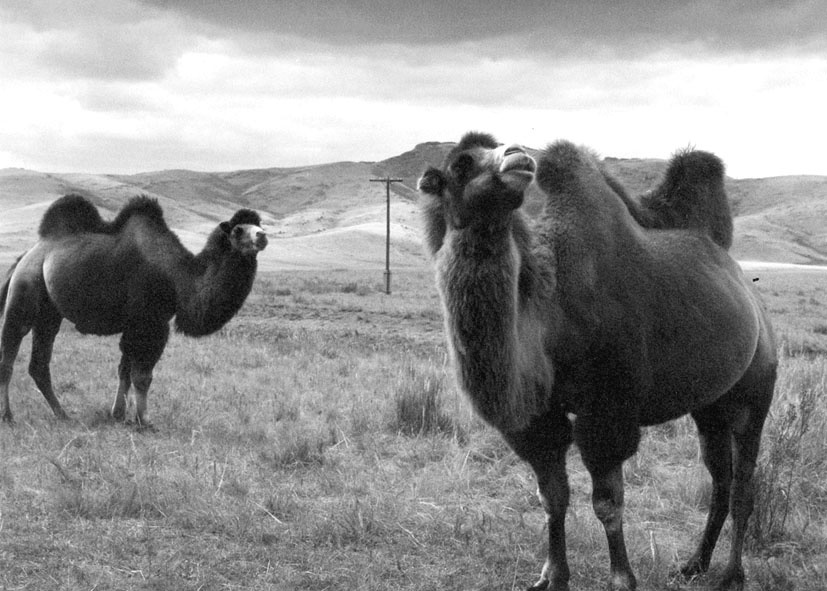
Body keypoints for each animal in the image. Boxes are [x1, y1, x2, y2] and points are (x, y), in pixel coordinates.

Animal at [0, 194, 267, 427]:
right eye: (238, 230)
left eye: (258, 224)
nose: (263, 236)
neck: (178, 277)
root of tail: (26, 256)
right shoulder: (149, 323)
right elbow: (142, 376)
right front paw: (144, 421)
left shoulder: (135, 325)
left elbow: (125, 371)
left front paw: (119, 415)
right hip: (24, 292)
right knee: (9, 355)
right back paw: (8, 416)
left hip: (49, 314)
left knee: (39, 364)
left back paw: (62, 414)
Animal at [418, 132, 777, 591]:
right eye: (462, 164)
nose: (517, 155)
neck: (548, 316)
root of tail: (750, 293)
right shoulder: (538, 418)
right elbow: (552, 497)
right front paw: (553, 576)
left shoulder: (608, 411)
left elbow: (607, 503)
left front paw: (623, 578)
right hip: (710, 405)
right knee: (720, 478)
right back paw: (694, 564)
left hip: (756, 389)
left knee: (745, 482)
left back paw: (731, 575)